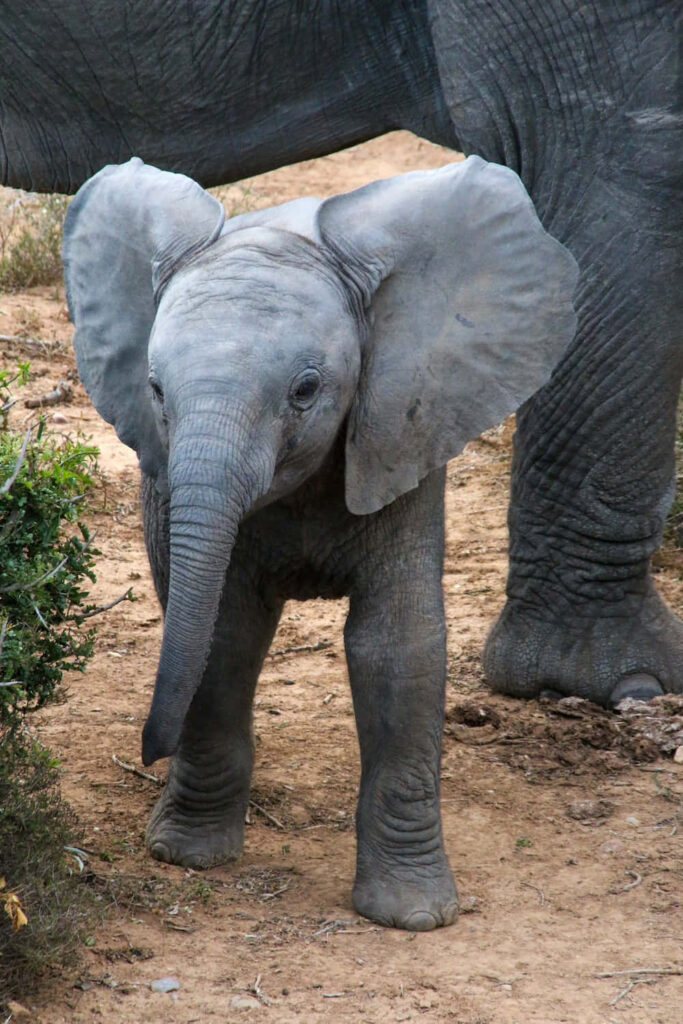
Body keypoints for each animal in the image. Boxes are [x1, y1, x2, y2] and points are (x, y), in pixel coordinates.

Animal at [62, 155, 577, 929]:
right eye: (154, 390)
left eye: (306, 390)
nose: (149, 751)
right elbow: (225, 634)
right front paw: (187, 856)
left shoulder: (401, 426)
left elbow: (396, 648)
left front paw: (411, 916)